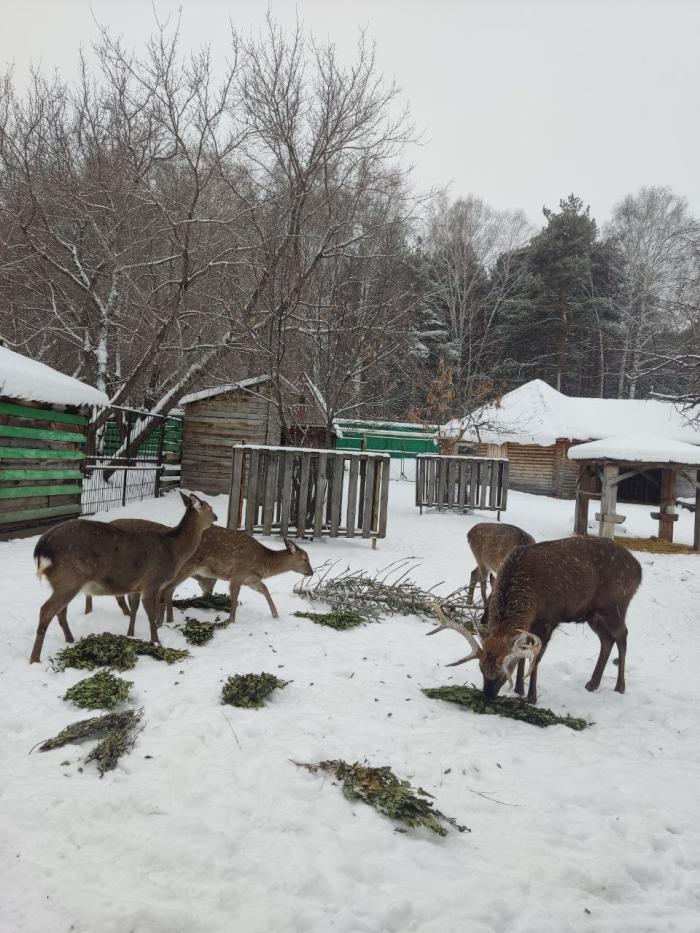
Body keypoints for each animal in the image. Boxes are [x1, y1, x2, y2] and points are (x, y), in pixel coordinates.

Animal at [31, 488, 216, 664]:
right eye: (209, 508)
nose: (216, 516)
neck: (174, 551)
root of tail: (41, 548)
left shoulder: (136, 586)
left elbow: (134, 609)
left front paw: (130, 634)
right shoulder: (152, 581)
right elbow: (150, 613)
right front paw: (156, 641)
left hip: (63, 583)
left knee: (60, 611)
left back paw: (70, 640)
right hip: (69, 578)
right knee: (46, 610)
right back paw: (35, 658)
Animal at [426, 536, 640, 704]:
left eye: (504, 672)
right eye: (480, 668)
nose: (487, 696)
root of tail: (639, 571)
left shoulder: (548, 620)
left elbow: (535, 657)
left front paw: (532, 697)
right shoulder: (530, 624)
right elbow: (523, 652)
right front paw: (519, 690)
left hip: (615, 606)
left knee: (623, 635)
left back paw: (620, 686)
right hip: (592, 614)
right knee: (607, 639)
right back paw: (592, 684)